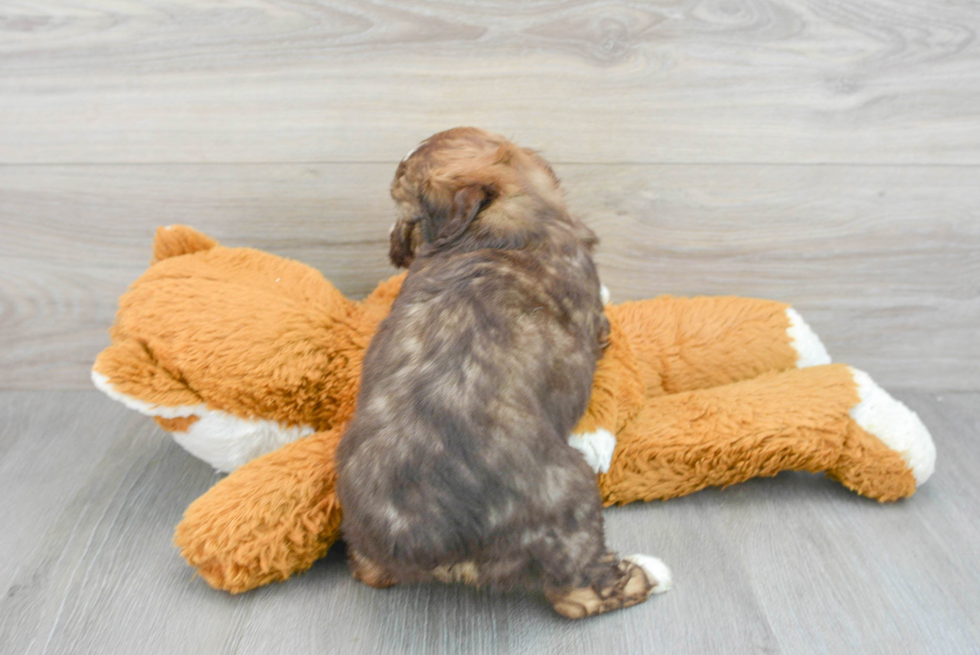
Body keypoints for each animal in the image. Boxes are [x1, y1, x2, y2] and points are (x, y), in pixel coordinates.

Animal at [334, 128, 668, 620]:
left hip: (363, 537)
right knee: (576, 595)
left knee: (369, 571)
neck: (499, 218)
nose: (394, 249)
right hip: (571, 499)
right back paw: (648, 574)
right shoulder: (596, 319)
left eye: (406, 217)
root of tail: (434, 543)